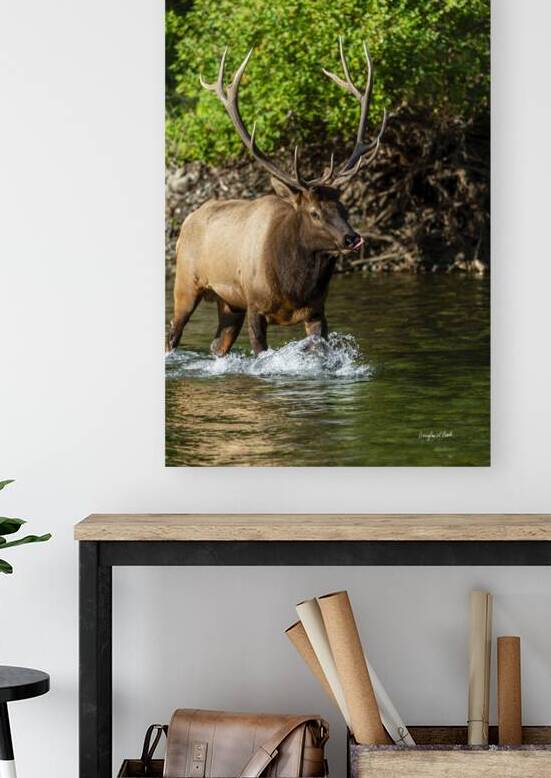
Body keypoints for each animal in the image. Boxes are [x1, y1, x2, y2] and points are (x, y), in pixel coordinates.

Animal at [167, 38, 386, 356]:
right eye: (314, 213)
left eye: (344, 208)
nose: (352, 238)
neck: (294, 286)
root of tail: (188, 220)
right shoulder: (256, 306)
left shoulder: (317, 311)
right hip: (186, 283)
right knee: (172, 334)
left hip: (229, 302)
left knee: (218, 345)